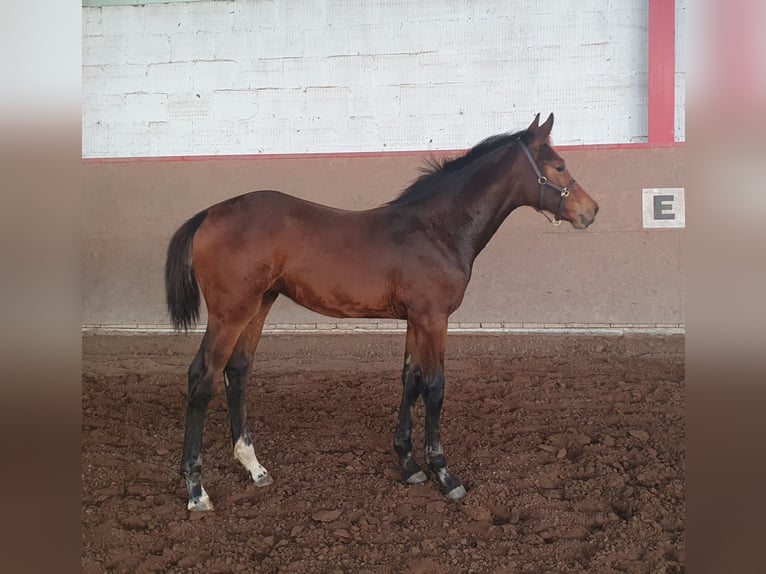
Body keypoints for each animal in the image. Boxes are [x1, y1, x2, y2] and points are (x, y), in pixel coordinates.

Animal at [165, 113, 599, 511]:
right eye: (559, 165)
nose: (590, 211)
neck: (436, 231)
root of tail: (209, 214)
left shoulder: (416, 320)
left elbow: (410, 380)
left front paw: (409, 464)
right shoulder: (434, 319)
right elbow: (435, 387)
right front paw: (444, 474)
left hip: (259, 305)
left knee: (238, 372)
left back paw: (254, 468)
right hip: (230, 313)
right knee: (203, 378)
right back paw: (197, 491)